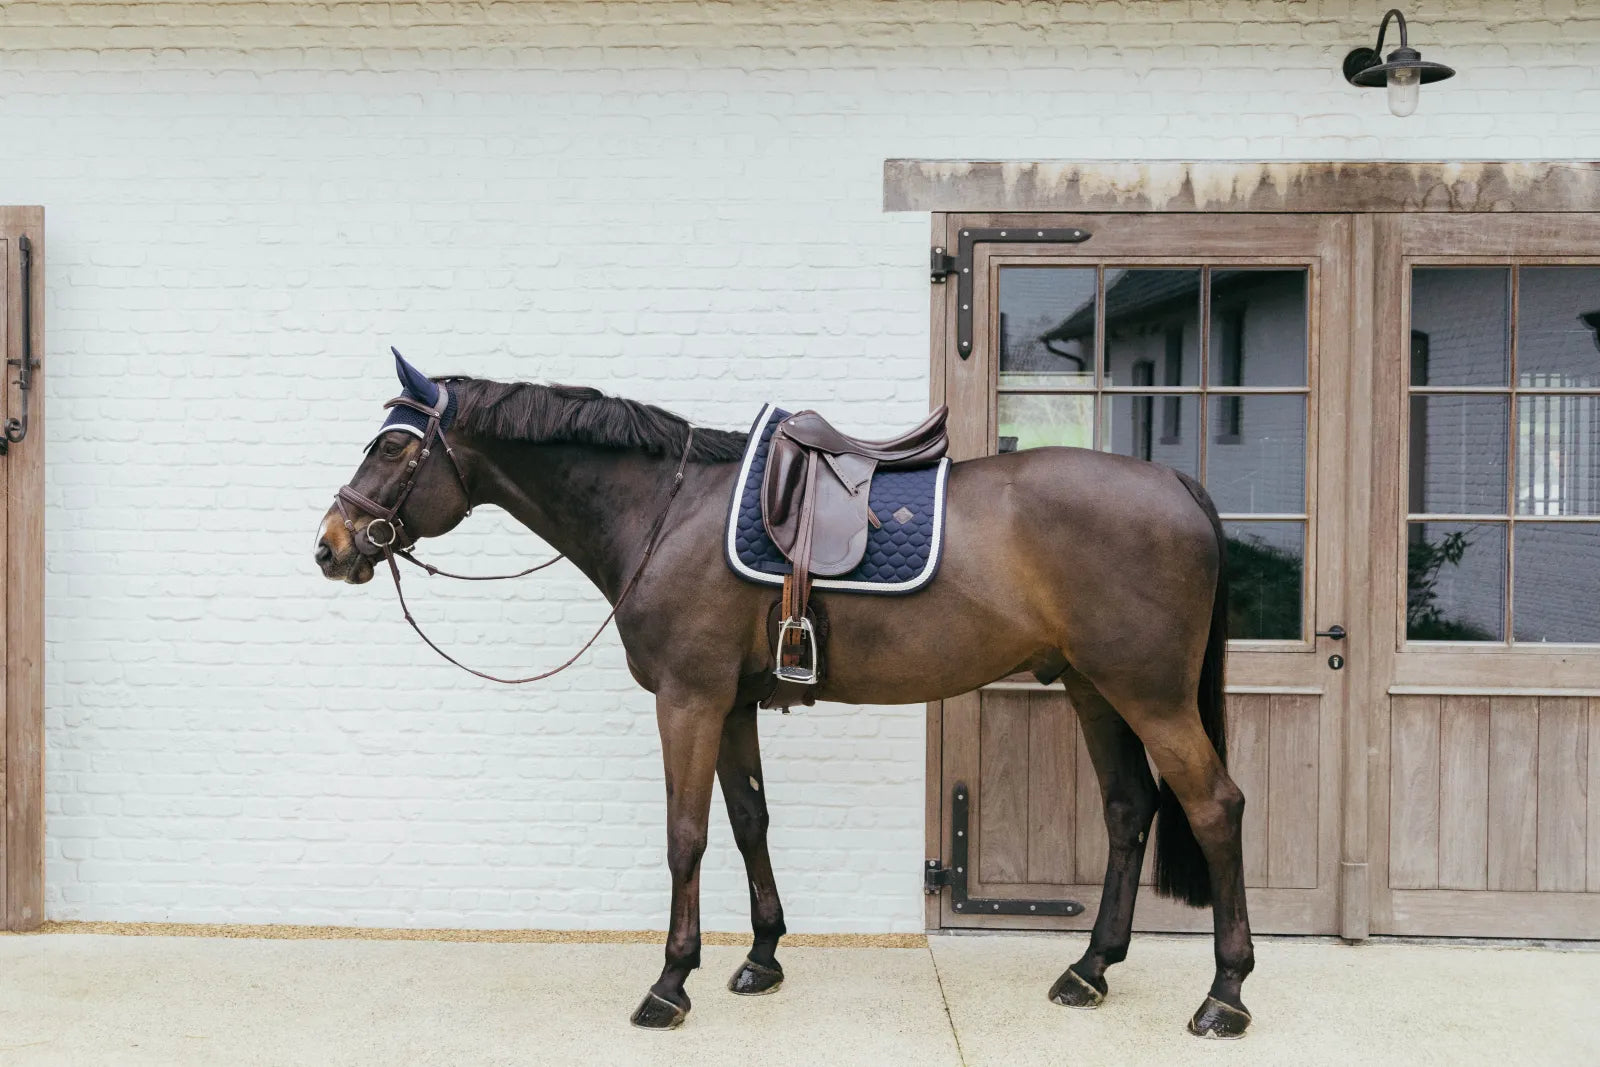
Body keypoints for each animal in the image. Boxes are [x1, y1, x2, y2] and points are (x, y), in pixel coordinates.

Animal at [315, 355, 1248, 1036]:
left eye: (392, 448)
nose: (330, 545)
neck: (667, 511)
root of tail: (1179, 486)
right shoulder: (729, 704)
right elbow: (749, 820)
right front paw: (761, 957)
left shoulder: (687, 699)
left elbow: (685, 835)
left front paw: (670, 981)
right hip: (1094, 688)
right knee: (1129, 810)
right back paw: (1089, 969)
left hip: (1151, 695)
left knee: (1215, 806)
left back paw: (1225, 994)